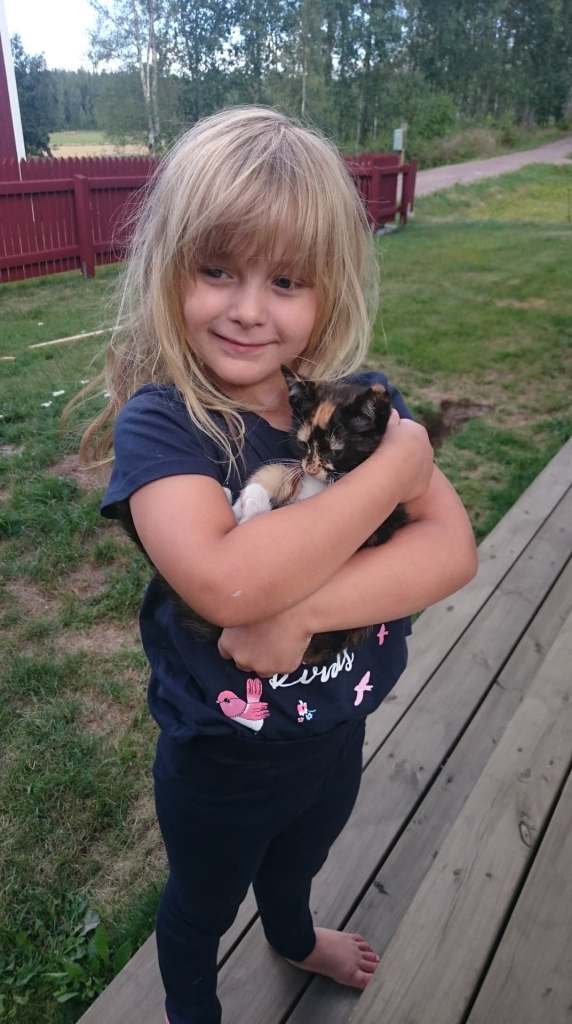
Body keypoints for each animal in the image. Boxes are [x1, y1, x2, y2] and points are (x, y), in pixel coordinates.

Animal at [116, 372, 408, 664]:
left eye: (335, 451)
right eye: (303, 444)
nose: (311, 468)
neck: (321, 484)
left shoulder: (382, 520)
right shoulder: (296, 469)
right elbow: (275, 470)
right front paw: (252, 498)